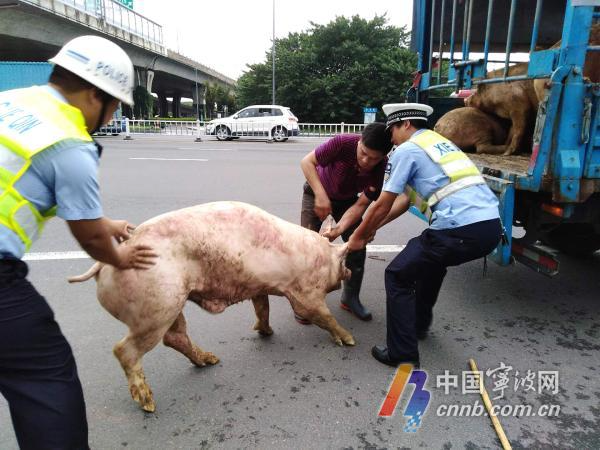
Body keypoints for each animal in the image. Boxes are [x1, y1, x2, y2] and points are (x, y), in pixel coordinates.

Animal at [68, 202, 354, 414]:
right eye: (343, 261)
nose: (350, 272)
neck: (318, 257)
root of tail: (103, 264)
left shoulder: (260, 286)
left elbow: (262, 308)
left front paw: (267, 332)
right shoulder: (304, 294)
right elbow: (322, 316)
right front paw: (350, 340)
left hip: (172, 303)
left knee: (175, 337)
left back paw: (210, 360)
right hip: (156, 307)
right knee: (124, 349)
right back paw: (148, 403)